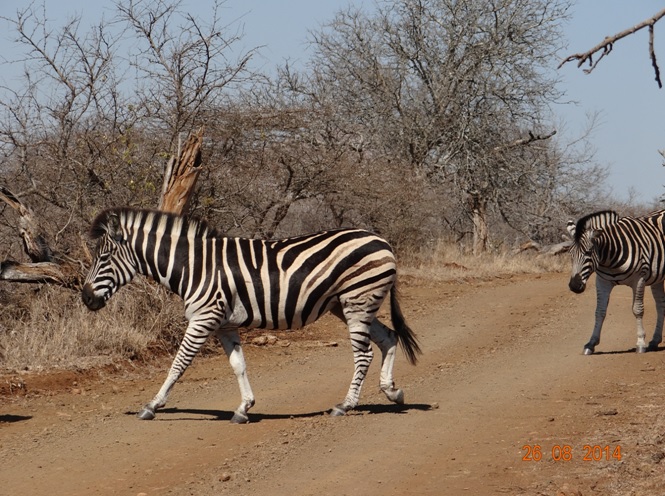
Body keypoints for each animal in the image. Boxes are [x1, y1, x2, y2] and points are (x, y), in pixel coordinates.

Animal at [81, 206, 420, 422]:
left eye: (104, 257)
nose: (85, 298)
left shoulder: (203, 318)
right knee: (388, 338)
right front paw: (244, 408)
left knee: (364, 354)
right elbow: (238, 366)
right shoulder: (223, 324)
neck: (194, 266)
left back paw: (345, 405)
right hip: (350, 304)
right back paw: (392, 391)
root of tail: (381, 240)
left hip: (357, 301)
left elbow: (178, 364)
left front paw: (152, 405)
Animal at [564, 211, 664, 354]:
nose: (574, 286)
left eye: (588, 252)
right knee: (661, 305)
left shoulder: (639, 279)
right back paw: (655, 341)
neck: (610, 258)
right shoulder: (602, 281)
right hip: (657, 277)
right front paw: (591, 343)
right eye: (570, 254)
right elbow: (599, 311)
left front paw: (640, 343)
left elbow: (638, 309)